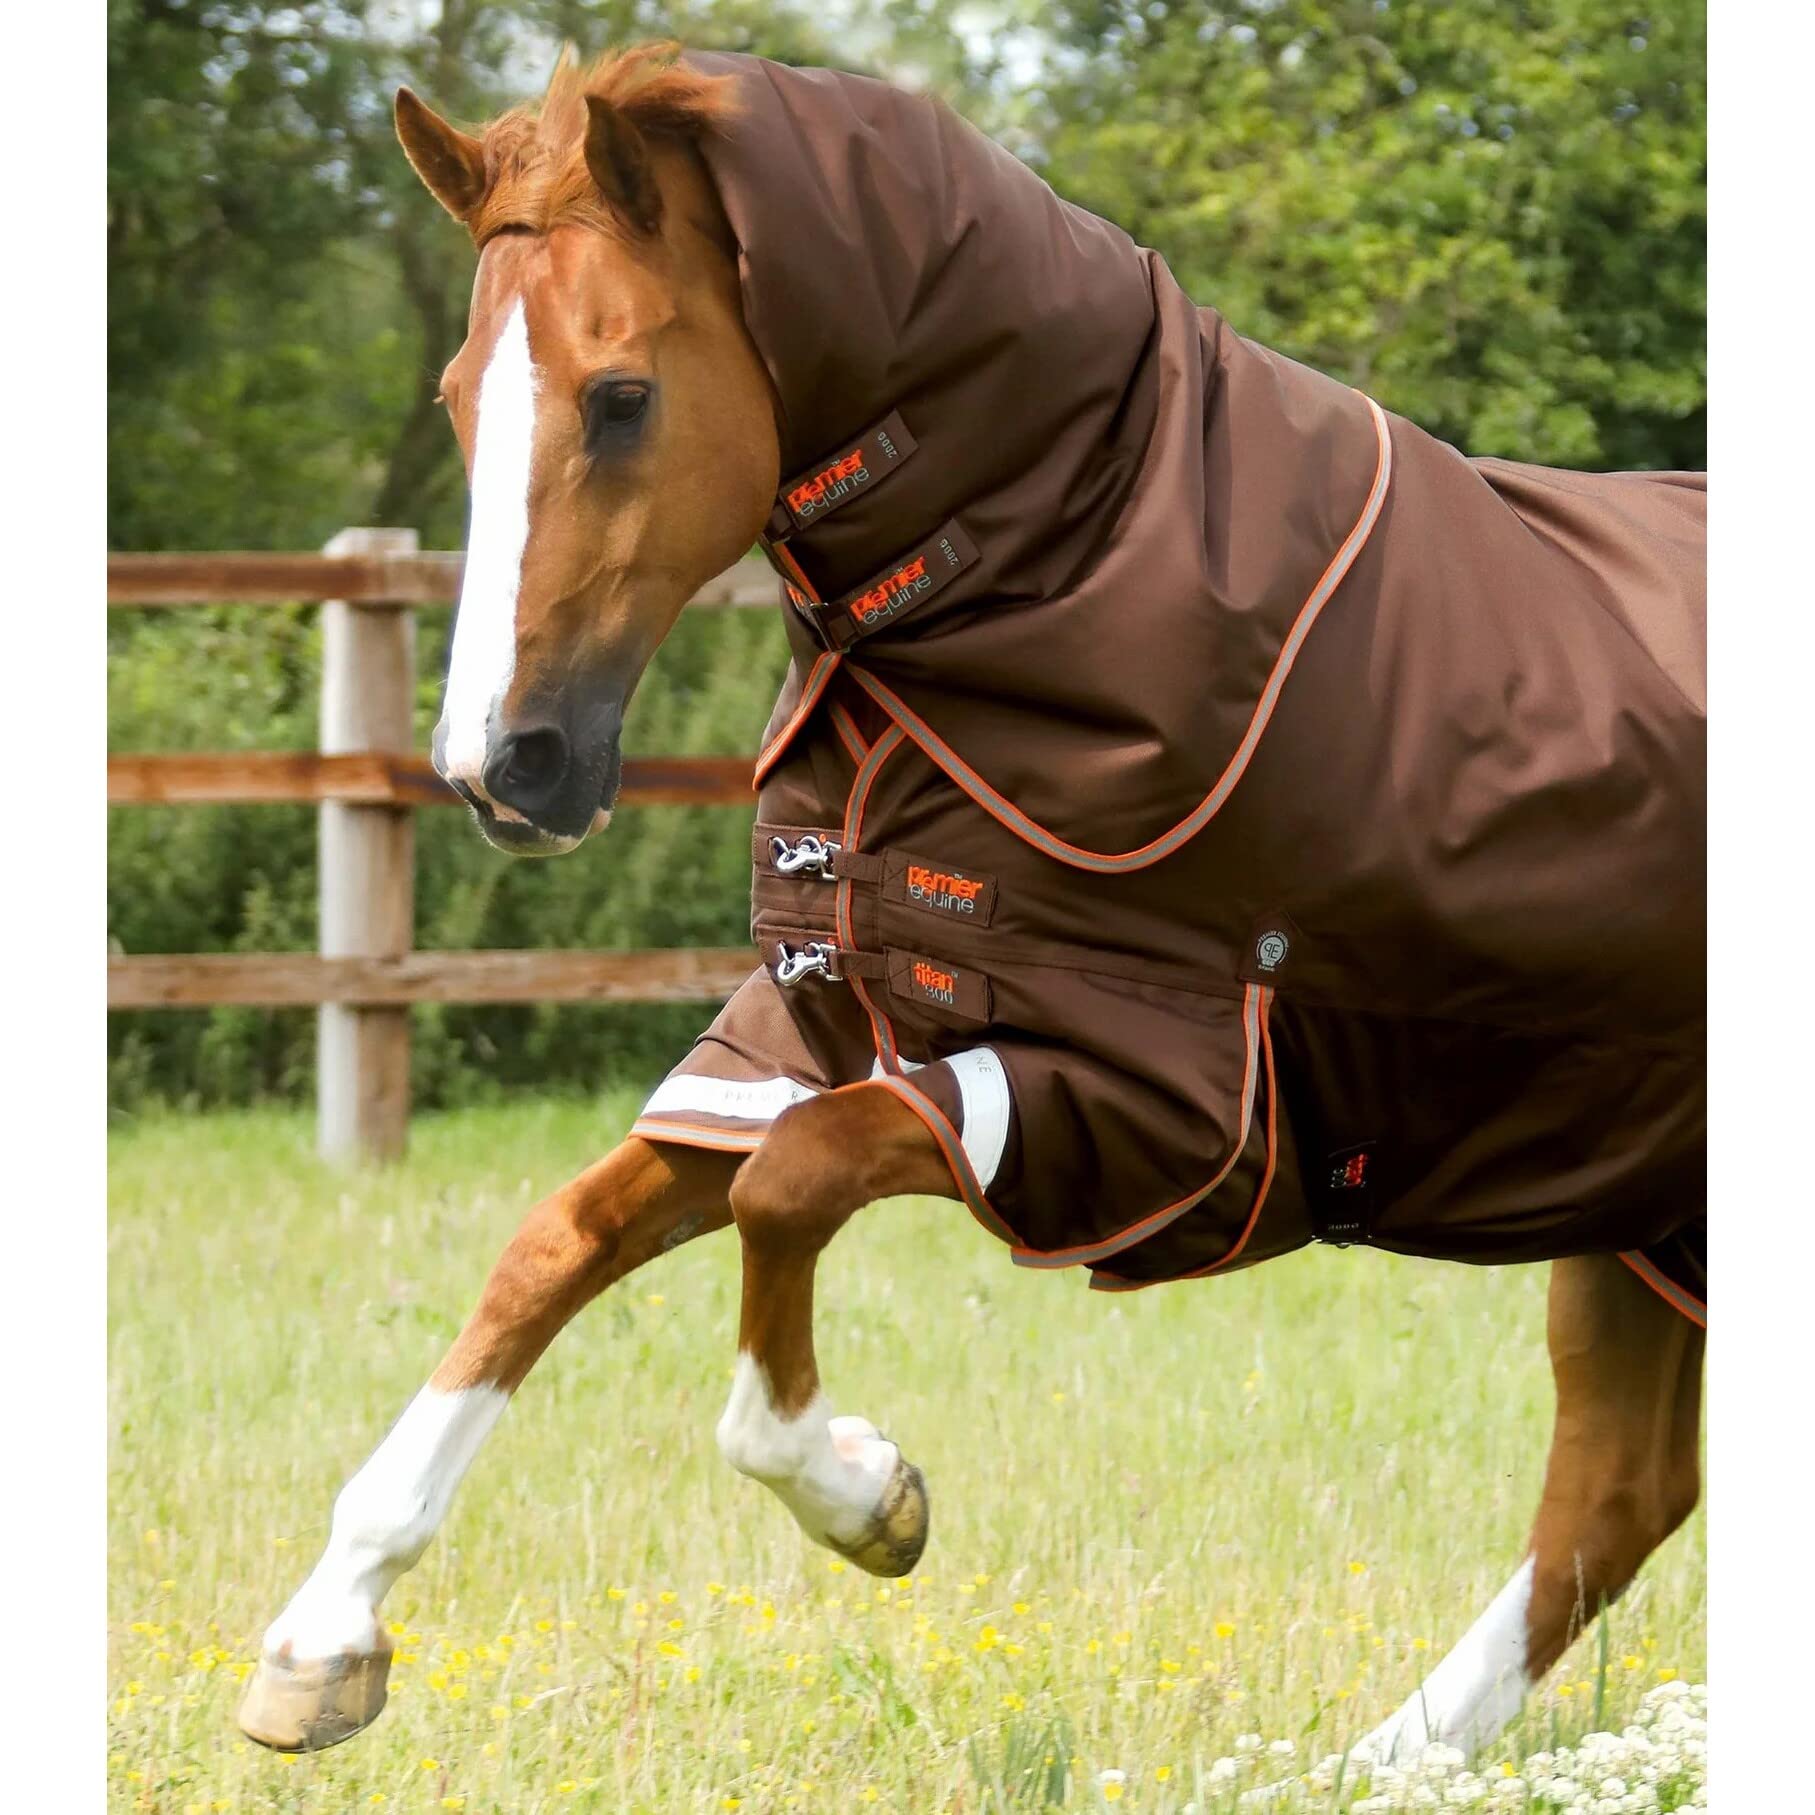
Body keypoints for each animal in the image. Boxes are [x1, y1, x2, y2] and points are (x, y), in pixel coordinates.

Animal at [237, 44, 1705, 1763]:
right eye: (461, 399)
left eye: (619, 397)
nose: (501, 765)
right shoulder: (808, 1026)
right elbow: (557, 1240)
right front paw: (321, 1641)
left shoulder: (1148, 1109)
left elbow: (787, 1187)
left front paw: (865, 1491)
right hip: (1632, 1216)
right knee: (1614, 1492)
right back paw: (1376, 1769)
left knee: (1608, 1496)